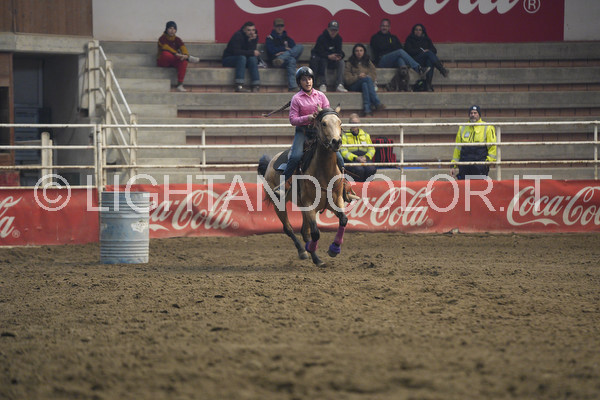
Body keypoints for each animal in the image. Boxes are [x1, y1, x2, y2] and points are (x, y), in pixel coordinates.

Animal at [258, 107, 348, 267]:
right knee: (289, 228)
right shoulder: (309, 204)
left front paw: (334, 249)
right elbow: (316, 233)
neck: (324, 171)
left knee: (304, 231)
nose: (336, 141)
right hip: (278, 204)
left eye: (340, 122)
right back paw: (303, 251)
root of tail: (270, 163)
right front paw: (314, 253)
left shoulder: (336, 200)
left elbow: (343, 220)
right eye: (323, 123)